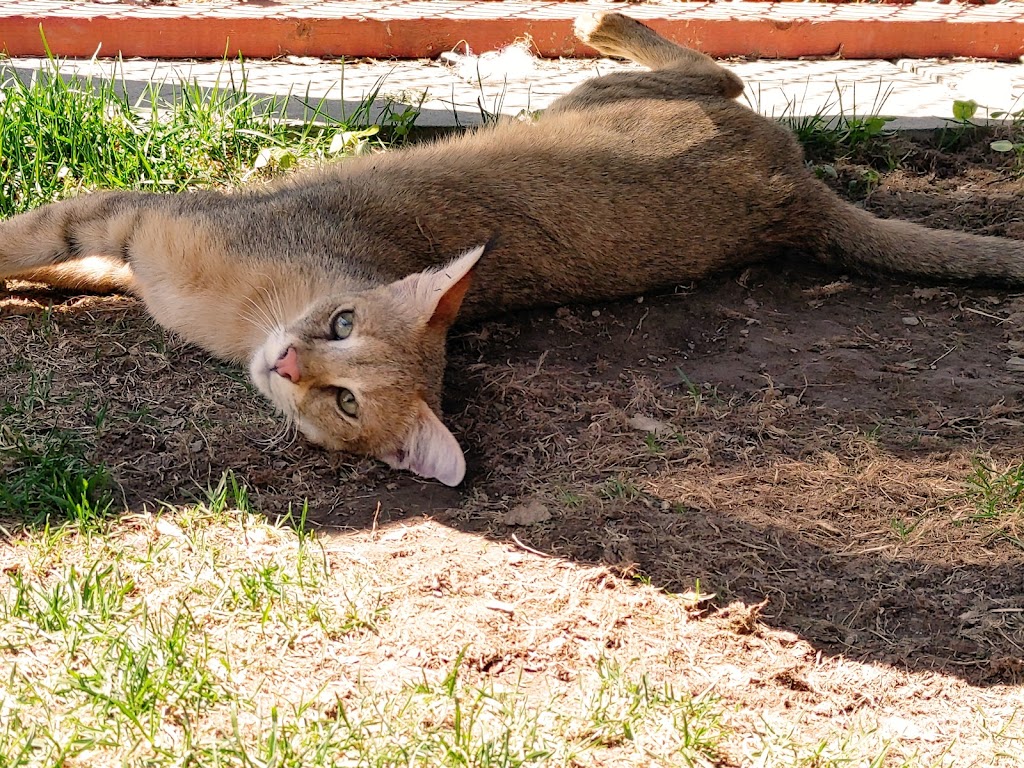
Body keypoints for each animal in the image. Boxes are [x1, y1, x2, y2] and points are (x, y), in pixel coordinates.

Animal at [2, 12, 1024, 487]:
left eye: (344, 401)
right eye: (341, 321)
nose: (288, 361)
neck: (244, 313)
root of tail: (802, 203)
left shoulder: (126, 226)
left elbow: (31, 246)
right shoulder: (121, 226)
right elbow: (39, 247)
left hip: (610, 105)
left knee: (723, 71)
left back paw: (600, 23)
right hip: (601, 108)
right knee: (728, 71)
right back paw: (604, 25)